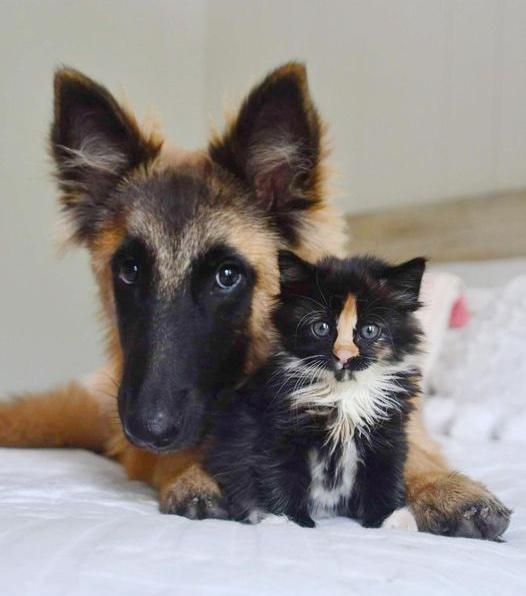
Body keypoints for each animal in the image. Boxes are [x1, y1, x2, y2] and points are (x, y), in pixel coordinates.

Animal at [207, 250, 428, 528]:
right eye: (322, 328)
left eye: (369, 330)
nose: (343, 356)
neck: (343, 394)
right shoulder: (280, 427)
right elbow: (281, 475)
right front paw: (290, 520)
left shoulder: (388, 428)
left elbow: (385, 474)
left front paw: (389, 518)